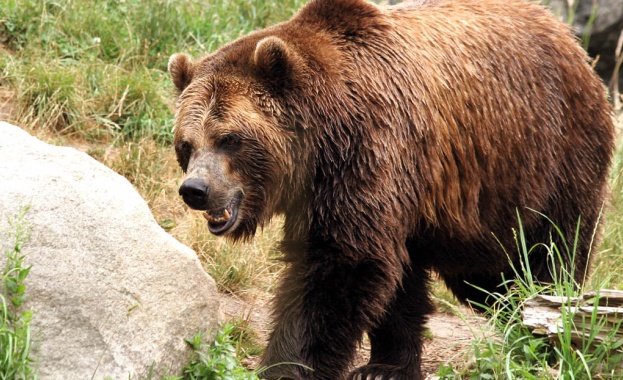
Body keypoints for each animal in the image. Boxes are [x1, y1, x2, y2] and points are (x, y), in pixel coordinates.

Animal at [168, 0, 616, 378]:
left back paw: (544, 332)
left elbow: (340, 266)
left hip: (543, 158)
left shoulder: (369, 151)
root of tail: (567, 37)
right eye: (187, 144)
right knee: (482, 280)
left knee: (543, 254)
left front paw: (286, 365)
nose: (196, 189)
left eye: (230, 138)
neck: (321, 140)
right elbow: (388, 278)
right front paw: (381, 366)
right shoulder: (379, 188)